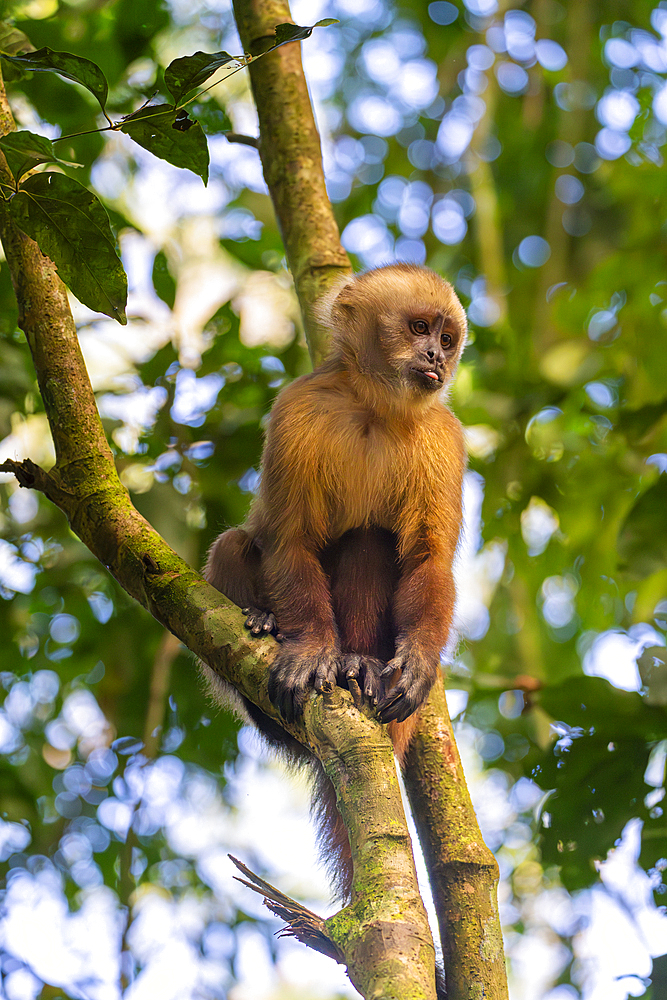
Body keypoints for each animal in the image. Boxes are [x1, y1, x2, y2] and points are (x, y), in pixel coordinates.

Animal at [204, 260, 470, 900]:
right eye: (419, 327)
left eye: (447, 338)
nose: (436, 356)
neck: (376, 409)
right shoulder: (299, 407)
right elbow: (289, 540)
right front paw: (310, 651)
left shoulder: (443, 435)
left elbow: (427, 560)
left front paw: (416, 661)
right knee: (235, 545)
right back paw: (273, 632)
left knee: (369, 542)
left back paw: (359, 667)